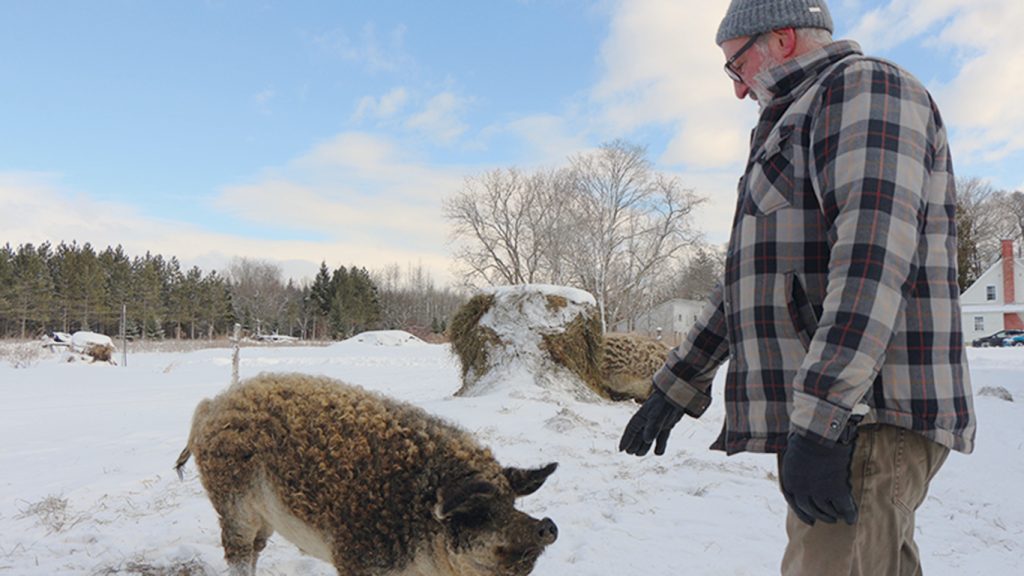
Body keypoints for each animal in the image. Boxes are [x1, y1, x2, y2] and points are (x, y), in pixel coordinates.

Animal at [175, 372, 558, 576]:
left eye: (511, 503)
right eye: (478, 512)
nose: (547, 525)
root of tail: (213, 404)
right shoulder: (357, 559)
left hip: (264, 514)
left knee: (256, 547)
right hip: (232, 502)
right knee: (238, 551)